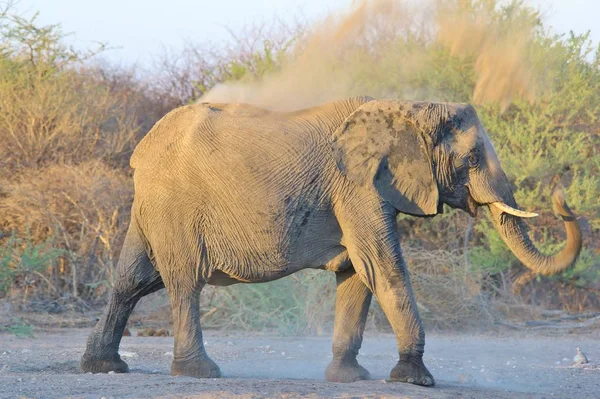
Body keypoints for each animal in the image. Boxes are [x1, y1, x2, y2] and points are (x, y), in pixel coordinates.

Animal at [79, 97, 580, 388]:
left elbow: (357, 273)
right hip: (175, 206)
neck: (410, 107)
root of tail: (140, 151)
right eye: (473, 158)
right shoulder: (356, 186)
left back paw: (104, 367)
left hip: (151, 209)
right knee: (183, 281)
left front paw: (350, 379)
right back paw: (200, 372)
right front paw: (414, 379)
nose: (563, 199)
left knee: (133, 280)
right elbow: (382, 266)